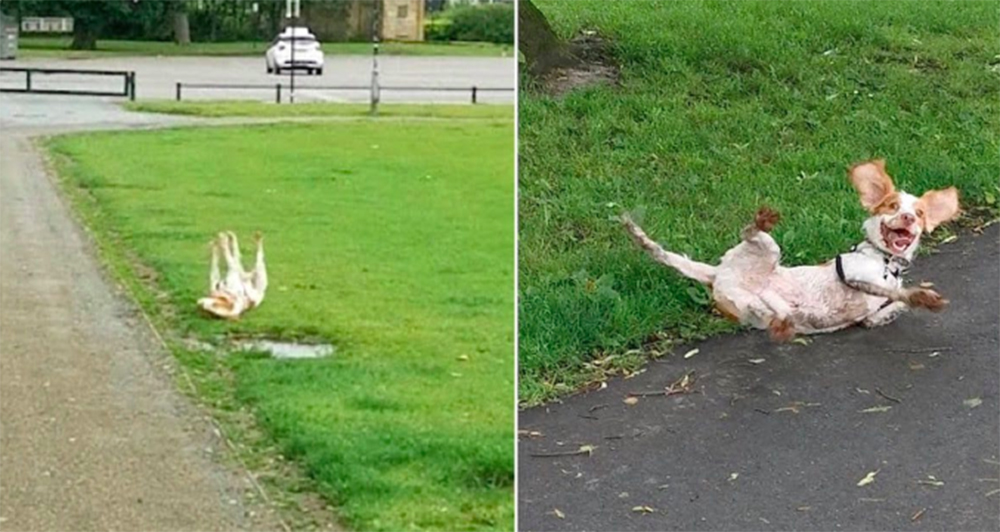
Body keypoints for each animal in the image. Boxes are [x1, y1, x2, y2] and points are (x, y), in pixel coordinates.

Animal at [624, 159, 960, 340]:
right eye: (892, 206)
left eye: (918, 213)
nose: (907, 218)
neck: (886, 263)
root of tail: (718, 273)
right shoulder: (851, 274)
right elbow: (894, 292)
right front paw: (916, 295)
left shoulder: (871, 315)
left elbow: (895, 304)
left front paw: (918, 299)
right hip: (767, 250)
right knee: (749, 232)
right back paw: (761, 221)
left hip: (749, 303)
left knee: (766, 312)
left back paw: (782, 322)